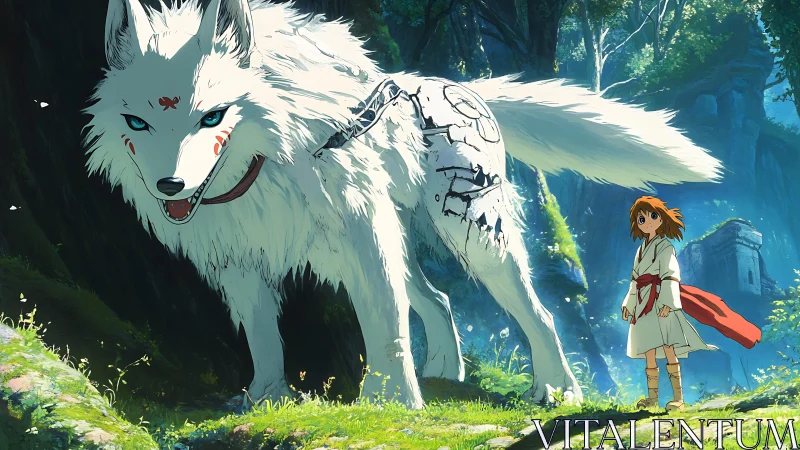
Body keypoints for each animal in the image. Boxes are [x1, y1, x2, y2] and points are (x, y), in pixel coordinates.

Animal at [83, 0, 722, 409]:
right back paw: (445, 373)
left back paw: (558, 389)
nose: (169, 187)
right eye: (137, 122)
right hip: (398, 244)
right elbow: (264, 336)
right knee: (438, 298)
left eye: (212, 116)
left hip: (473, 238)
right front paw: (267, 398)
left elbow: (384, 326)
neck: (271, 158)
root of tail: (464, 88)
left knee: (534, 310)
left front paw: (390, 401)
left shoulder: (362, 238)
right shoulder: (240, 261)